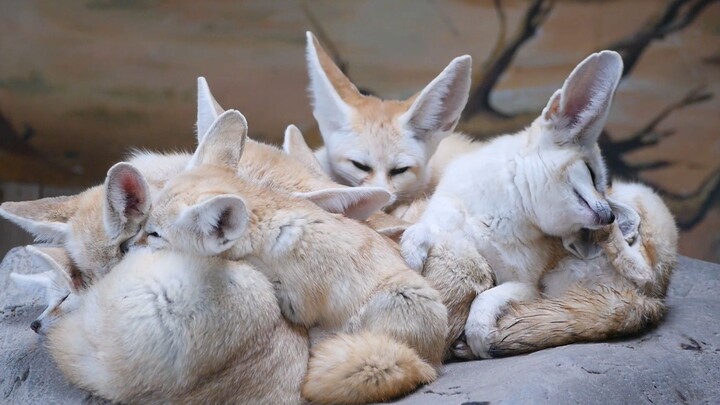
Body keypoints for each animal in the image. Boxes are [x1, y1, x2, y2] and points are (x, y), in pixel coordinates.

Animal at [136, 108, 449, 405]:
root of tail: (431, 365)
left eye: (154, 234)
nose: (128, 246)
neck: (268, 227)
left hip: (395, 300)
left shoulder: (299, 301)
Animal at [401, 51, 641, 358]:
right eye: (591, 173)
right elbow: (423, 228)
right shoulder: (450, 220)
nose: (610, 216)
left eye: (601, 182)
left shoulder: (528, 285)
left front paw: (479, 336)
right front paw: (411, 252)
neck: (499, 213)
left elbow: (486, 298)